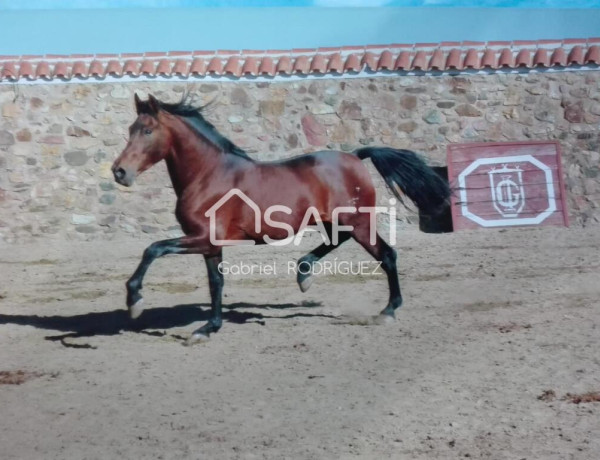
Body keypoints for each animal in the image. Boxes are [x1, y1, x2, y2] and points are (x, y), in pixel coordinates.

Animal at [113, 94, 450, 344]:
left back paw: (387, 311)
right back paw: (304, 273)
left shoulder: (202, 238)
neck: (208, 175)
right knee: (337, 241)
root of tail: (355, 157)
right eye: (129, 129)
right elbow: (216, 283)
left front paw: (134, 302)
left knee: (387, 255)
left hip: (359, 223)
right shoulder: (210, 244)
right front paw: (208, 328)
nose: (119, 172)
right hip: (338, 221)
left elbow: (153, 249)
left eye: (147, 131)